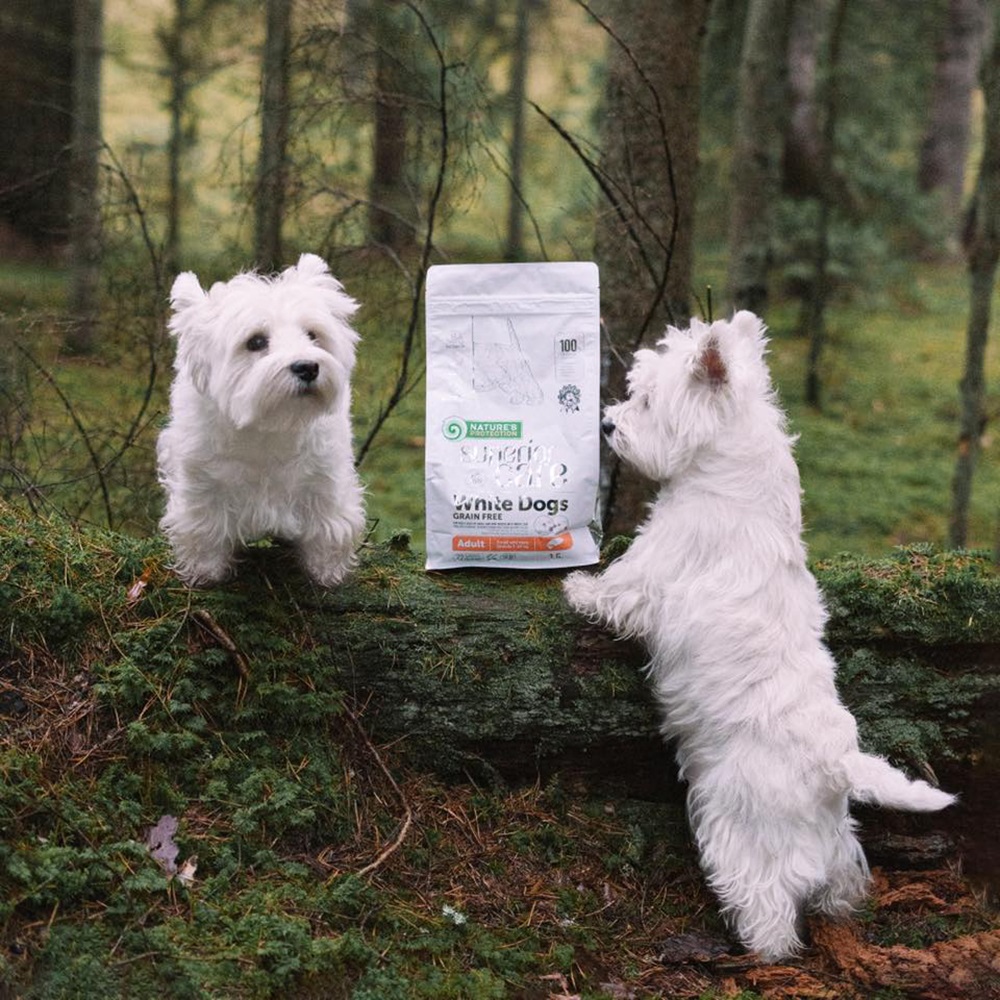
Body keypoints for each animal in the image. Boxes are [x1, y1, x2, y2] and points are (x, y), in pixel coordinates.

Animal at [153, 254, 364, 588]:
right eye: (255, 342)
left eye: (312, 335)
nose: (307, 367)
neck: (269, 426)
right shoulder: (201, 481)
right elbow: (205, 526)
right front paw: (205, 571)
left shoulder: (325, 477)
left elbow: (328, 523)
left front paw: (325, 570)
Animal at [564, 310, 952, 960]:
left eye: (645, 399)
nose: (608, 423)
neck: (729, 475)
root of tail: (833, 764)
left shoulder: (658, 565)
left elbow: (619, 588)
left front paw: (577, 587)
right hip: (832, 837)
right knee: (840, 878)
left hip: (741, 826)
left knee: (769, 903)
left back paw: (759, 949)